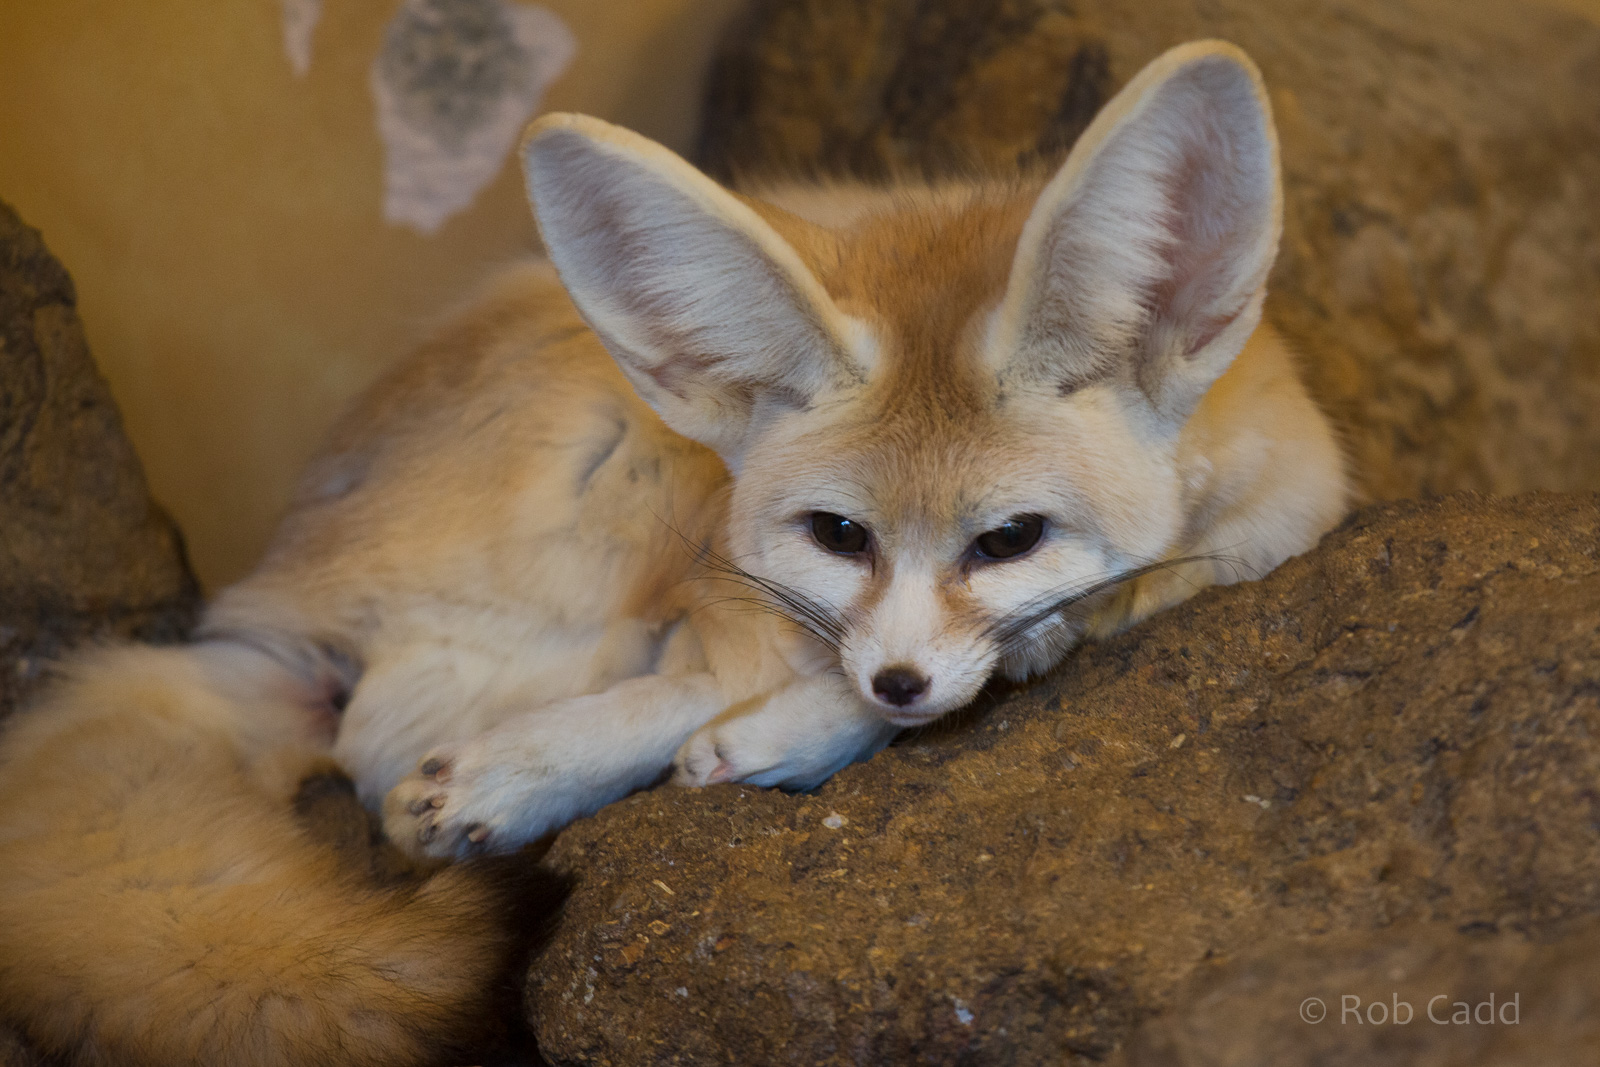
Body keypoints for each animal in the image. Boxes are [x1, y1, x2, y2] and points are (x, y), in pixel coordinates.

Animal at [0, 41, 1345, 1066]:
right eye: (839, 534)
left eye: (1009, 536)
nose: (898, 682)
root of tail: (255, 609)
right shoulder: (769, 597)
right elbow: (798, 676)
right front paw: (788, 731)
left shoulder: (1296, 510)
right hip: (645, 481)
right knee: (405, 741)